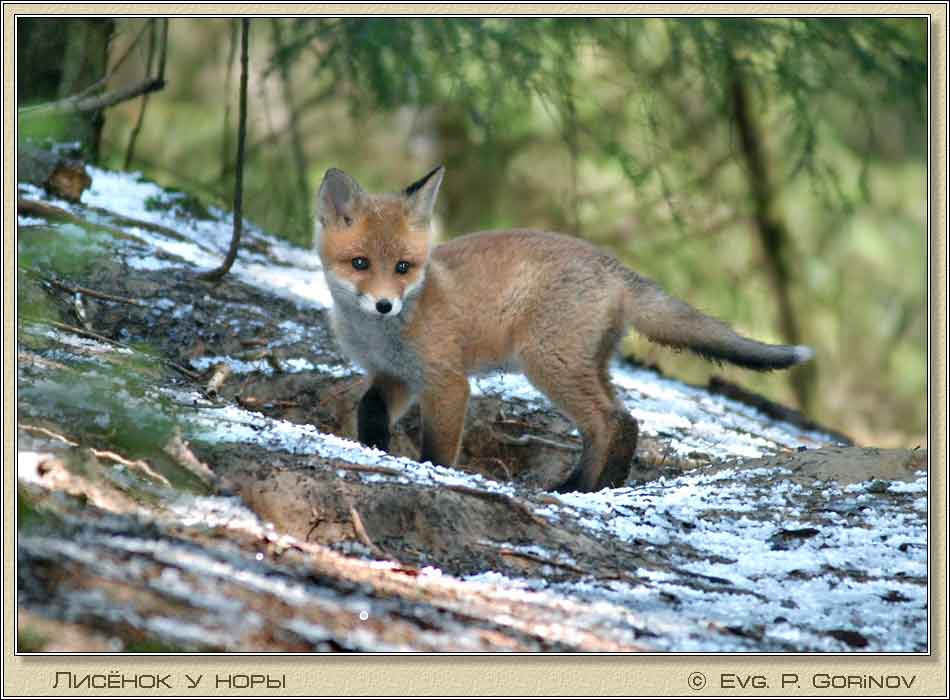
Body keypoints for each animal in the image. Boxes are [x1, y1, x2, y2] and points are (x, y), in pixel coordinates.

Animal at [315, 165, 814, 493]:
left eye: (403, 267)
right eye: (360, 263)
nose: (384, 304)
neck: (381, 334)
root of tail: (612, 267)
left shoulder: (446, 381)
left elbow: (438, 448)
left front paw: (431, 472)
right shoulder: (393, 375)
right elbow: (370, 409)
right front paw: (374, 447)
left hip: (549, 364)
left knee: (611, 420)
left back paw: (583, 488)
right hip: (587, 365)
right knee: (623, 421)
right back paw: (598, 483)